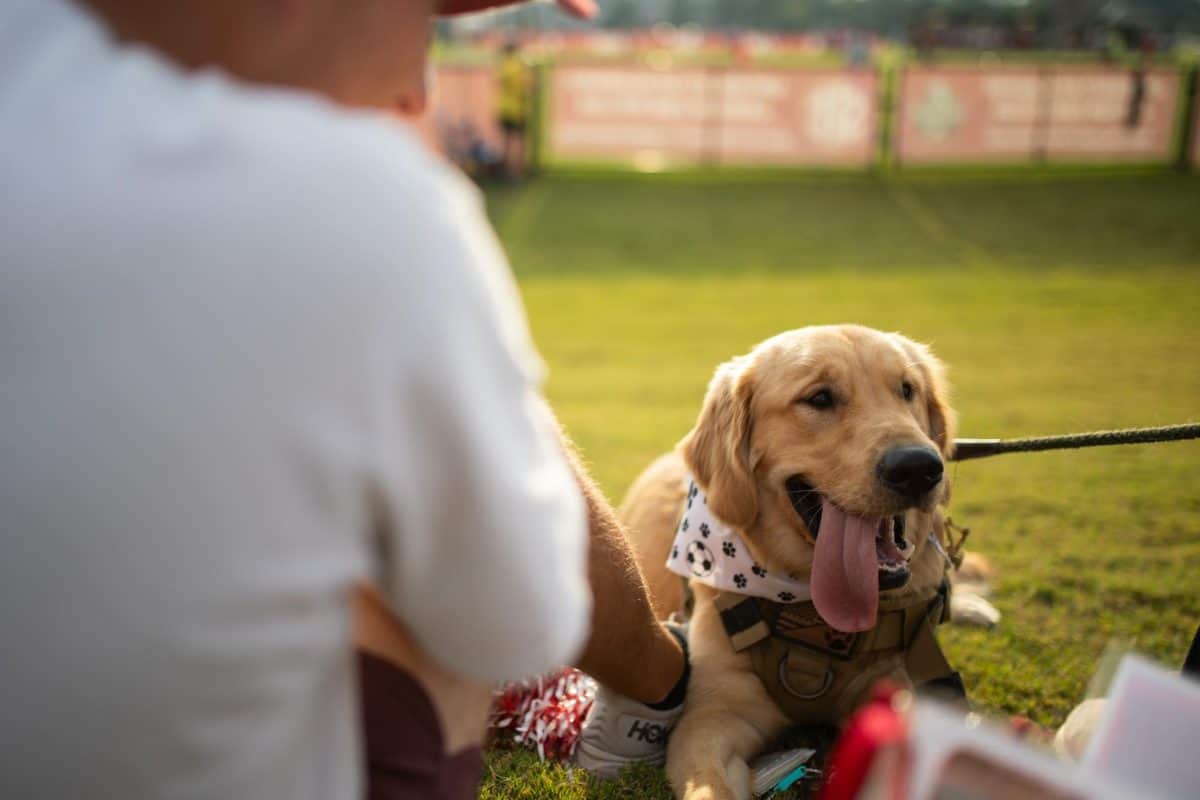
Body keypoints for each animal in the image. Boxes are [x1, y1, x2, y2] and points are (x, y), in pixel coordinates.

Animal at [619, 326, 955, 800]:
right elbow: (710, 784)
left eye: (907, 390)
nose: (919, 468)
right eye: (819, 398)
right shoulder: (714, 714)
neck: (811, 612)